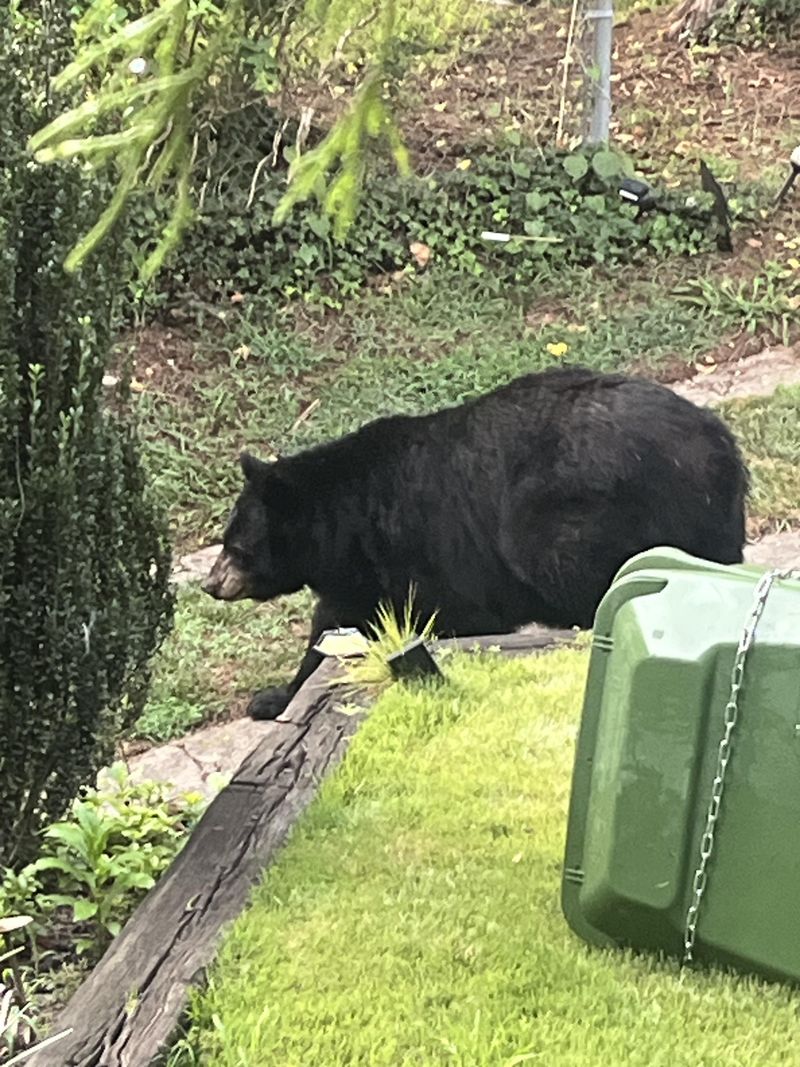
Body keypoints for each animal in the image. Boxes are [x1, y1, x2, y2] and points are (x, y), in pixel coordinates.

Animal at [202, 366, 747, 720]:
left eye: (237, 546)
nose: (211, 584)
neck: (348, 522)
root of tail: (716, 444)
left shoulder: (424, 549)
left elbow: (453, 614)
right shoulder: (361, 577)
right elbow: (333, 628)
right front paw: (276, 695)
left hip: (575, 513)